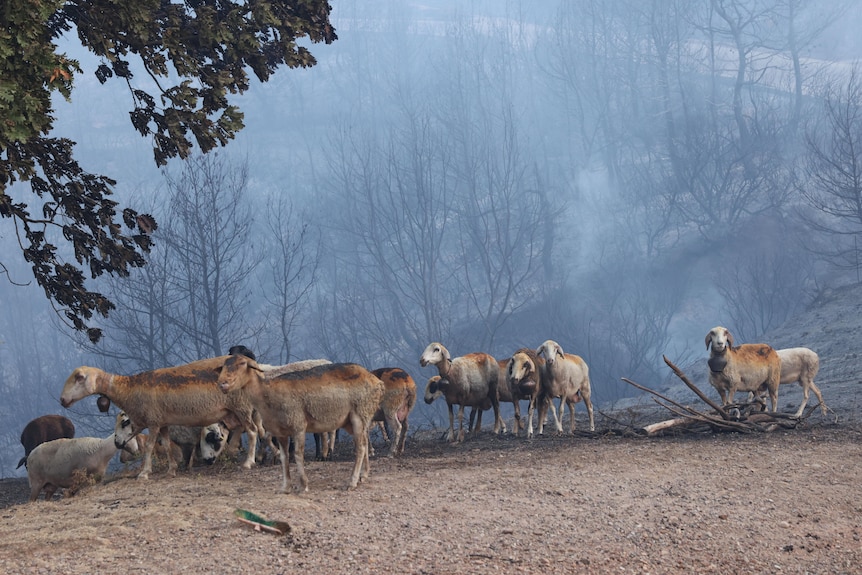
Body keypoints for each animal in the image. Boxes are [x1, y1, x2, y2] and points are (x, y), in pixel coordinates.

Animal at [59, 358, 262, 480]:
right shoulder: (163, 421)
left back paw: (248, 462)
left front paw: (144, 473)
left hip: (241, 406)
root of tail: (253, 364)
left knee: (252, 432)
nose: (62, 400)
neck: (128, 390)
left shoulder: (153, 420)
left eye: (79, 377)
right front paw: (171, 470)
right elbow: (166, 444)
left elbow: (150, 446)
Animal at [218, 358, 386, 492]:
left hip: (360, 413)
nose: (222, 383)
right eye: (224, 365)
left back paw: (352, 481)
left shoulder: (298, 425)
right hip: (353, 420)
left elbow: (298, 454)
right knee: (364, 442)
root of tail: (376, 380)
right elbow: (284, 457)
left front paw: (303, 485)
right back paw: (363, 476)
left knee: (361, 447)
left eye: (242, 363)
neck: (265, 393)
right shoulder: (280, 431)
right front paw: (285, 487)